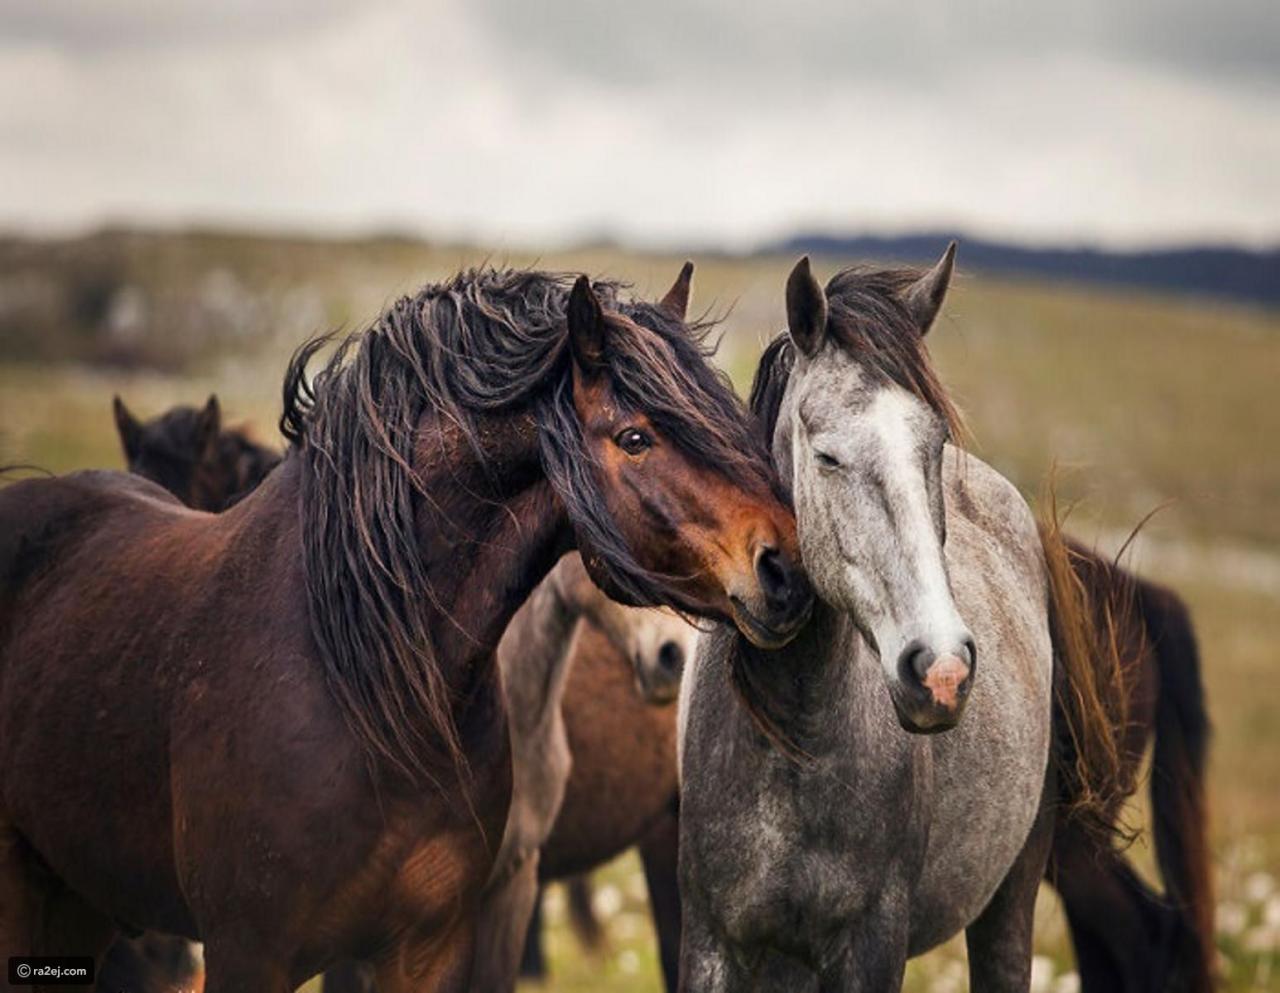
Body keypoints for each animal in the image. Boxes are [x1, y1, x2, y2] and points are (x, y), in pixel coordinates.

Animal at [680, 250, 1131, 992]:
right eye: (826, 455)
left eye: (934, 444)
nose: (941, 670)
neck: (792, 744)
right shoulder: (713, 942)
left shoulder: (873, 944)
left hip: (1010, 898)